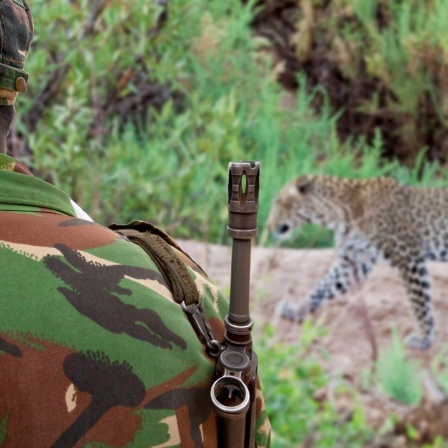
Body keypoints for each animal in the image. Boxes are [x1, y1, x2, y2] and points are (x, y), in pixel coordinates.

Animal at [266, 174, 448, 350]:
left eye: (280, 202)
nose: (268, 226)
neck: (341, 214)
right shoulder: (354, 260)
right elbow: (323, 287)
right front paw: (297, 310)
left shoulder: (408, 257)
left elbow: (420, 301)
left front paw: (423, 338)